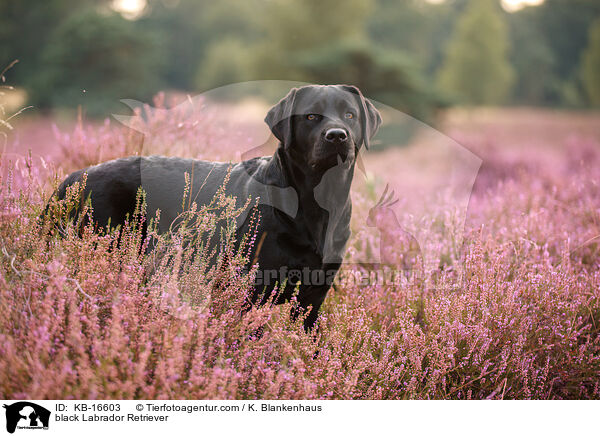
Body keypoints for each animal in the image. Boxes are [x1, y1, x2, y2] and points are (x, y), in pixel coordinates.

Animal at [50, 84, 380, 330]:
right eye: (311, 116)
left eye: (349, 114)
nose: (337, 135)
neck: (314, 204)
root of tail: (72, 178)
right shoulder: (252, 287)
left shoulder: (314, 295)